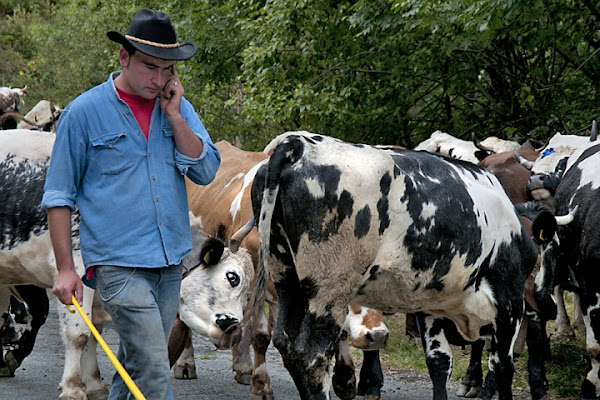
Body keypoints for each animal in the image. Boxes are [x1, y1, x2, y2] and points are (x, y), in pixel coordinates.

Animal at [244, 132, 540, 400]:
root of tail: (298, 145)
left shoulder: (431, 306)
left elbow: (440, 363)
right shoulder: (509, 304)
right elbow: (503, 368)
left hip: (287, 278)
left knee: (285, 343)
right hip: (329, 288)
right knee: (311, 355)